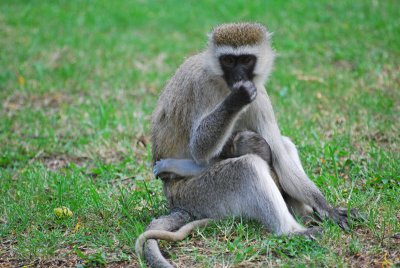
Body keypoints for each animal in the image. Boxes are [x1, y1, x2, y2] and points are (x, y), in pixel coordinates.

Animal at [138, 22, 360, 268]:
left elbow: (280, 158)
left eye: (245, 60)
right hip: (196, 194)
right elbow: (200, 150)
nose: (238, 76)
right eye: (228, 60)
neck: (221, 81)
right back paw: (291, 231)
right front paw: (237, 98)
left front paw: (328, 209)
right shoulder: (201, 86)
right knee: (247, 167)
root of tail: (173, 199)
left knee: (283, 147)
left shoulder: (260, 95)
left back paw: (307, 215)